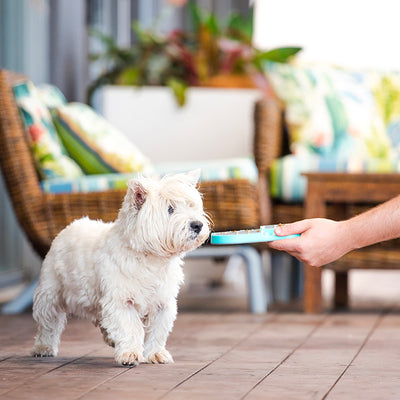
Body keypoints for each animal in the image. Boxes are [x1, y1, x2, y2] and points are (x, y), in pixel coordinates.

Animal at [31, 169, 209, 366]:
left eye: (190, 206)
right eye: (170, 209)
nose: (197, 225)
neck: (150, 258)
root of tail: (70, 226)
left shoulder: (162, 303)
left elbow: (157, 331)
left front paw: (155, 354)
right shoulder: (121, 300)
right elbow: (130, 328)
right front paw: (130, 354)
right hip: (50, 291)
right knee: (48, 321)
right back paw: (43, 347)